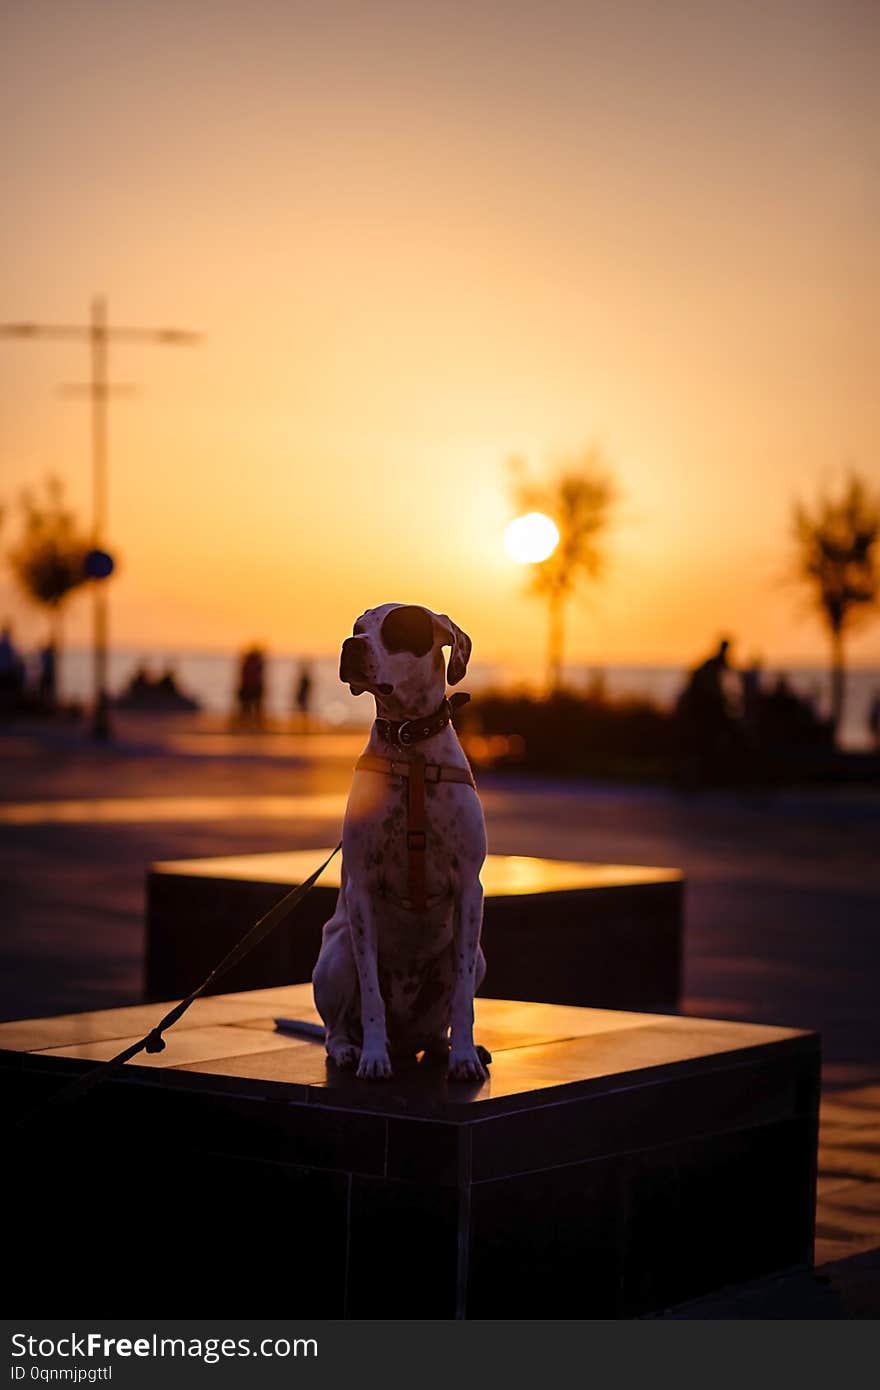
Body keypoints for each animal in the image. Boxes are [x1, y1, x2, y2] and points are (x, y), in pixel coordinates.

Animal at [310, 603, 492, 1078]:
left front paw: (465, 1058)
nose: (350, 646)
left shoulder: (470, 888)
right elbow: (371, 993)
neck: (410, 746)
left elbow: (463, 998)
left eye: (397, 630)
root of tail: (408, 1043)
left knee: (440, 1024)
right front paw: (373, 1058)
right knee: (334, 1028)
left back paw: (448, 1049)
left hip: (477, 958)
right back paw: (350, 1050)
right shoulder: (361, 888)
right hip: (336, 954)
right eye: (358, 628)